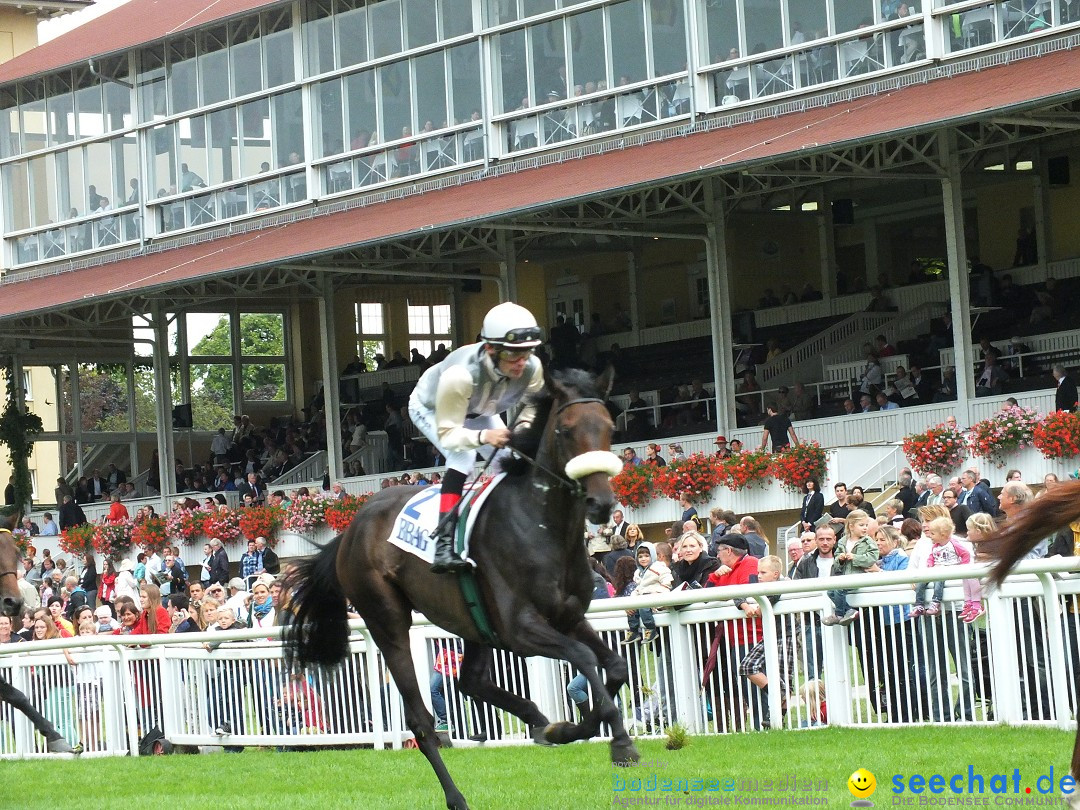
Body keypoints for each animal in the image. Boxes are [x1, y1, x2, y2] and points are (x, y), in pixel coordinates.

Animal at [289, 369, 639, 810]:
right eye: (565, 430)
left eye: (609, 427)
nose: (601, 503)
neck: (543, 526)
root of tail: (352, 526)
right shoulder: (519, 629)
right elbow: (584, 657)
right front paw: (621, 742)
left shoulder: (569, 616)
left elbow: (614, 665)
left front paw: (571, 729)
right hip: (387, 618)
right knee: (421, 719)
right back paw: (456, 796)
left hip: (473, 621)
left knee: (469, 681)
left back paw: (537, 720)